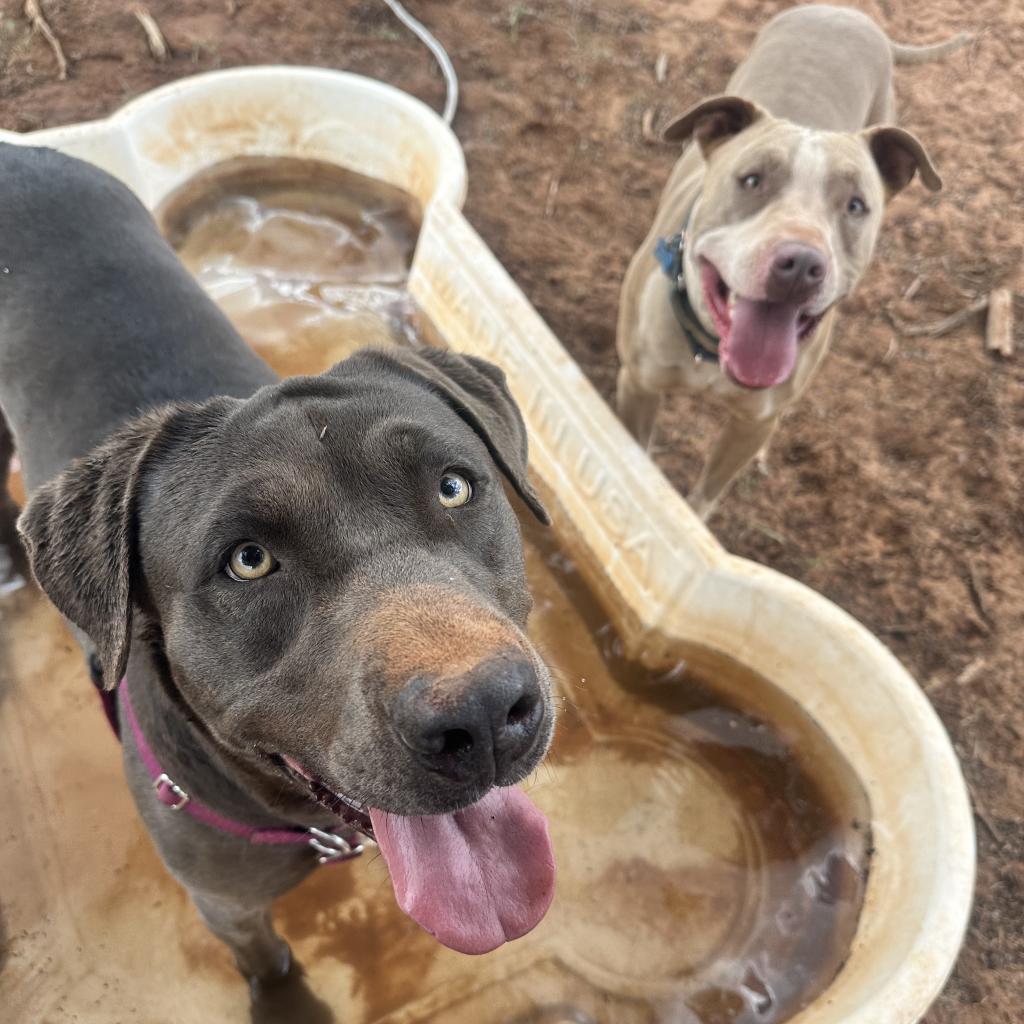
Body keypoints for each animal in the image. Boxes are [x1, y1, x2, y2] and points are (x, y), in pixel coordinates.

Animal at [614, 6, 966, 520]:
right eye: (752, 180)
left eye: (856, 206)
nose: (800, 264)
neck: (712, 351)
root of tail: (848, 11)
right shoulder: (637, 387)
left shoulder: (752, 424)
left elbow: (703, 499)